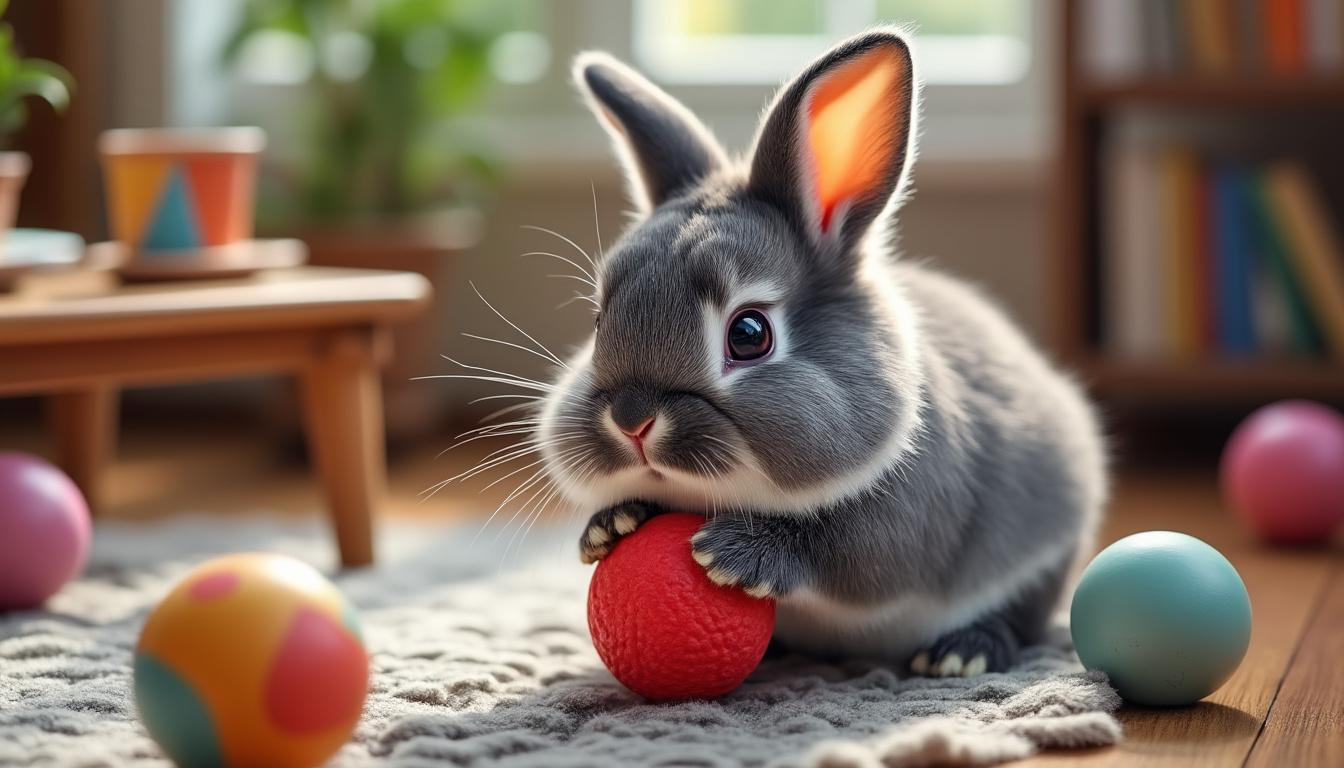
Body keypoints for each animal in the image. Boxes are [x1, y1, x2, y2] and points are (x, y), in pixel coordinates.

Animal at [536, 27, 1107, 677]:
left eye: (749, 334)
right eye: (599, 318)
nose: (632, 420)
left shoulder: (905, 518)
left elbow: (845, 554)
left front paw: (736, 555)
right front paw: (609, 527)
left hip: (1041, 556)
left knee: (1018, 617)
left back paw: (961, 655)